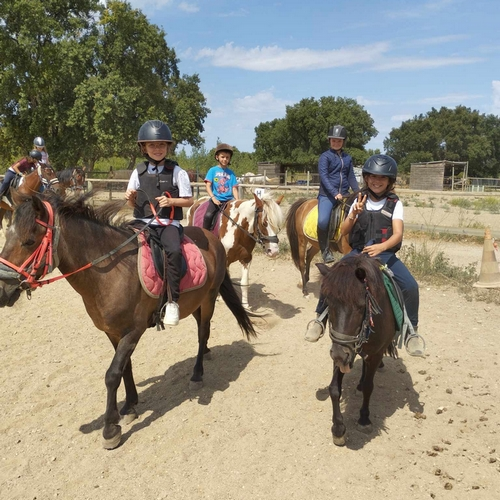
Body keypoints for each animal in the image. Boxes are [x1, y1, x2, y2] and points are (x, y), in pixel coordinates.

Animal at [0, 191, 256, 450]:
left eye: (29, 241)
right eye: (7, 236)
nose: (2, 290)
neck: (110, 272)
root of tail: (211, 238)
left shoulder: (134, 330)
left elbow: (112, 374)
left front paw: (110, 428)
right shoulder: (113, 332)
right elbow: (125, 367)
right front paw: (130, 405)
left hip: (209, 298)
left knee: (203, 331)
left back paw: (197, 374)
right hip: (194, 301)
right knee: (202, 329)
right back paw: (206, 352)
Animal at [318, 256, 396, 448]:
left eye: (361, 306)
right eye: (328, 302)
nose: (340, 355)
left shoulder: (374, 354)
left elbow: (369, 387)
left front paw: (364, 419)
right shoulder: (341, 351)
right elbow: (334, 388)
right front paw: (338, 428)